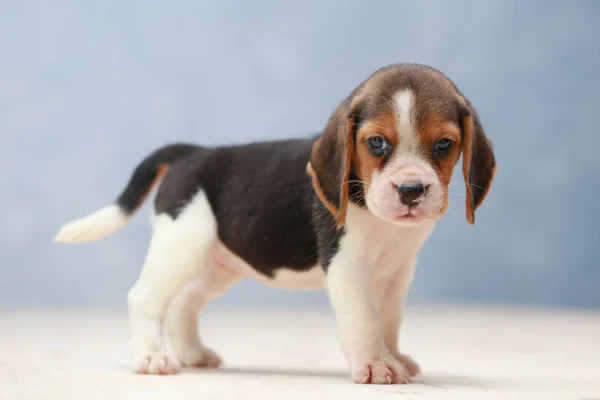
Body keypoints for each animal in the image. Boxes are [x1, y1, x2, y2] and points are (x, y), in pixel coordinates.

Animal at [55, 63, 496, 384]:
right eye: (376, 143)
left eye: (444, 144)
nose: (411, 190)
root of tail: (191, 153)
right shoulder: (347, 268)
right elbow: (365, 319)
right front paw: (375, 364)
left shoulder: (396, 273)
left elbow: (388, 320)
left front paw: (395, 356)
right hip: (180, 245)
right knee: (144, 298)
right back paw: (152, 356)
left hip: (218, 264)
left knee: (183, 302)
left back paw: (194, 353)